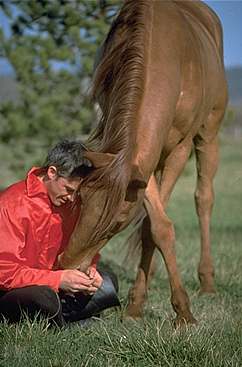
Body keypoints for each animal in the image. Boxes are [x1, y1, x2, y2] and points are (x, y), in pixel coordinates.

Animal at [57, 0, 228, 328]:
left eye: (116, 223)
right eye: (80, 200)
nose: (65, 265)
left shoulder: (178, 149)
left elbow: (157, 226)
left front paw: (182, 312)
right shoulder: (135, 158)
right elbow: (153, 223)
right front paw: (137, 305)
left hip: (209, 133)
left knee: (204, 199)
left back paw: (208, 283)